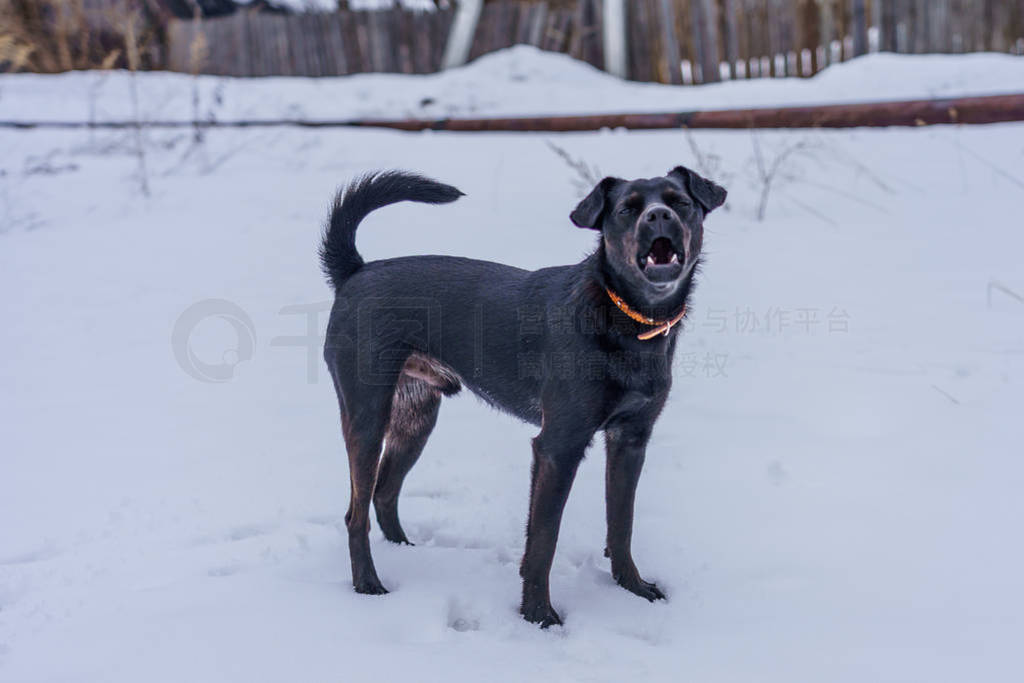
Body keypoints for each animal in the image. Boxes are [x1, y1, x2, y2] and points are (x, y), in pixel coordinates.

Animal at [321, 167, 729, 626]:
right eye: (627, 209)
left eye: (680, 203)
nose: (659, 216)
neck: (624, 319)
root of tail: (355, 272)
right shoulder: (558, 447)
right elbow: (543, 541)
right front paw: (538, 614)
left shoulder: (630, 441)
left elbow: (621, 524)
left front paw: (633, 588)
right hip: (367, 417)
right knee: (355, 513)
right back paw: (368, 585)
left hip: (416, 418)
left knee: (384, 492)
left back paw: (406, 553)